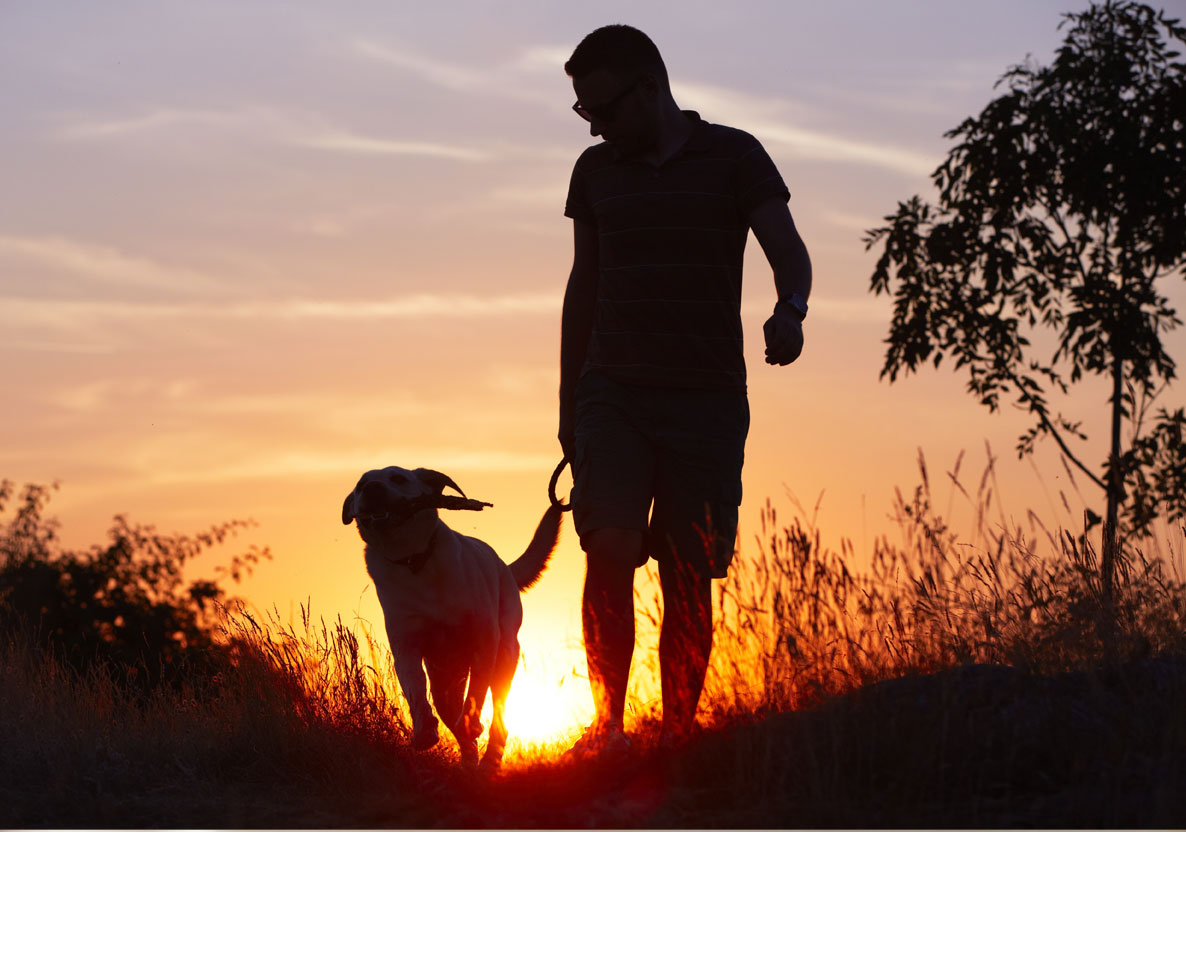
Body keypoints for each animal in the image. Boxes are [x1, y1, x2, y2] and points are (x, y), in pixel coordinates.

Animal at [341, 464, 562, 768]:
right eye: (361, 486)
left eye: (398, 478)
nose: (372, 488)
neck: (415, 561)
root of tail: (505, 566)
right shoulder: (405, 645)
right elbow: (414, 687)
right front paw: (424, 730)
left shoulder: (484, 641)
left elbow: (477, 692)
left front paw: (470, 721)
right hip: (445, 680)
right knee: (454, 719)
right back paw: (470, 764)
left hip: (506, 654)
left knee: (499, 714)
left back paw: (489, 758)